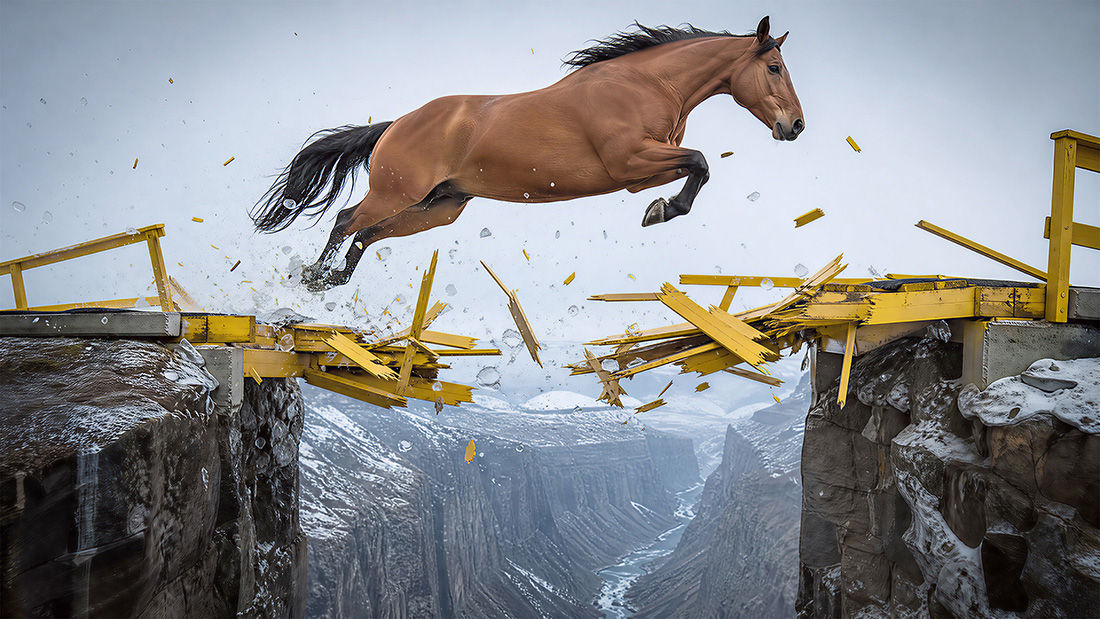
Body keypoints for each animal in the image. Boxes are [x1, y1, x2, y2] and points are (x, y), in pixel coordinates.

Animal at [252, 16, 803, 291]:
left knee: (366, 234)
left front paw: (660, 208)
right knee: (346, 220)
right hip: (396, 193)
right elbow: (701, 162)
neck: (645, 83)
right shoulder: (630, 162)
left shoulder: (638, 171)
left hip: (440, 207)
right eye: (774, 67)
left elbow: (695, 167)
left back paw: (335, 279)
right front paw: (661, 212)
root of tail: (397, 124)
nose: (795, 126)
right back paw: (314, 277)